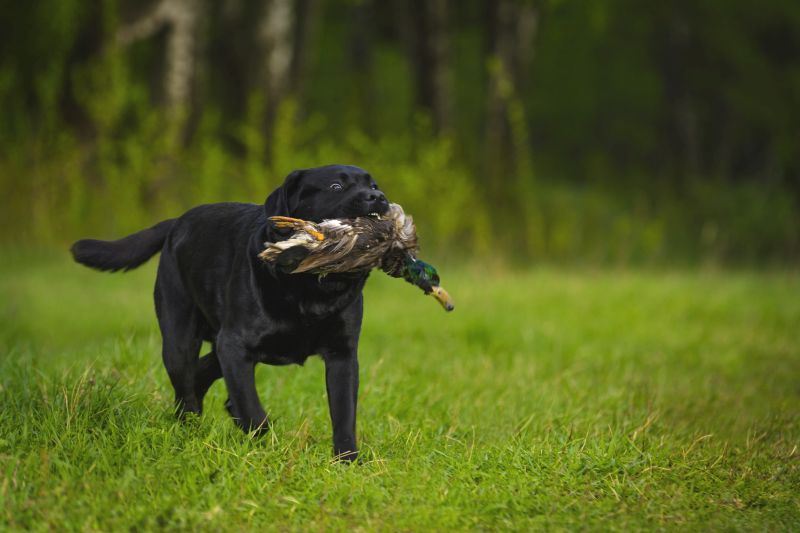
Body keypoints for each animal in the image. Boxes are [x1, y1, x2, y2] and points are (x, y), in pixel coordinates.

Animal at [72, 164, 390, 460]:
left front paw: (348, 461)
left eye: (373, 185)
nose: (378, 197)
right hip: (179, 340)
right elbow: (252, 408)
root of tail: (177, 222)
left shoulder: (342, 354)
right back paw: (190, 430)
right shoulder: (235, 345)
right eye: (336, 186)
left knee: (201, 374)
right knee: (187, 388)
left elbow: (344, 414)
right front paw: (265, 447)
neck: (310, 289)